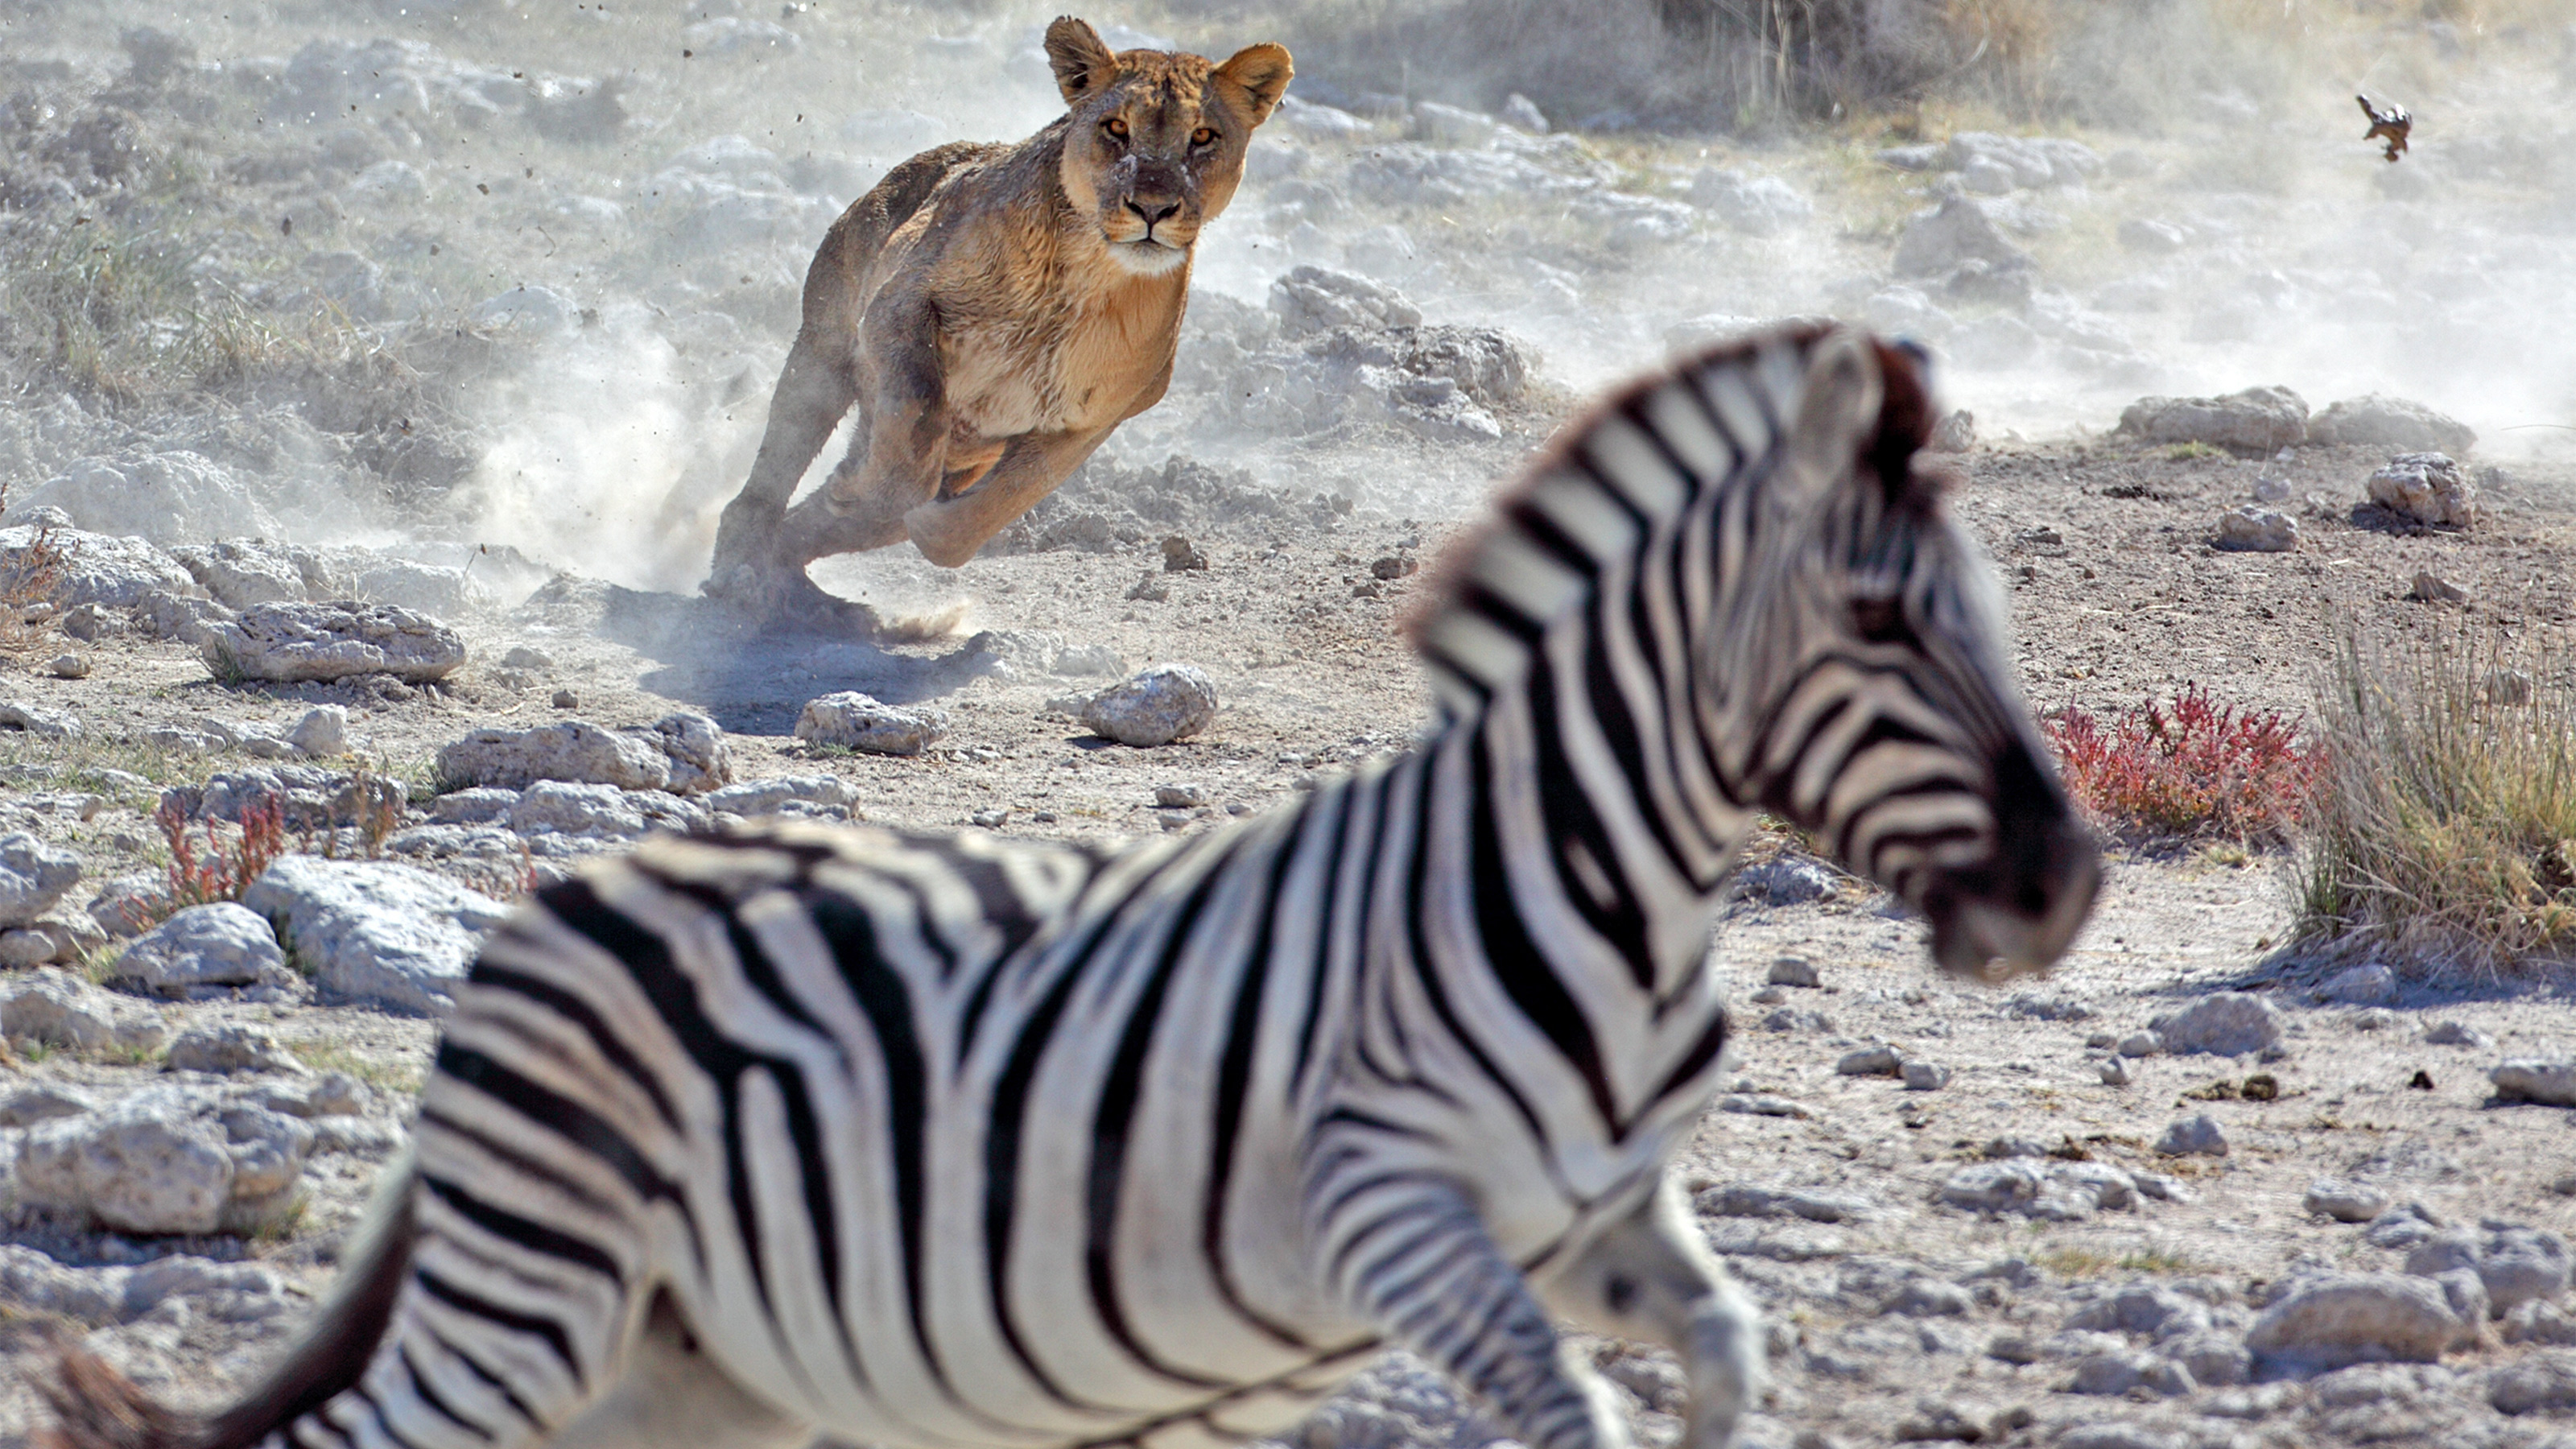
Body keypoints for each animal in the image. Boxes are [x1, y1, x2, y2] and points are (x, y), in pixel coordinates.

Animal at [40, 320, 2091, 1443]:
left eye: (1991, 612)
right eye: (1884, 624)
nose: (2064, 889)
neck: (1588, 895)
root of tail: (563, 906)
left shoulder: (1597, 1221)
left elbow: (1729, 1347)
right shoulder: (1385, 1208)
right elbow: (1564, 1406)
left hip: (687, 1352)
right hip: (537, 1291)